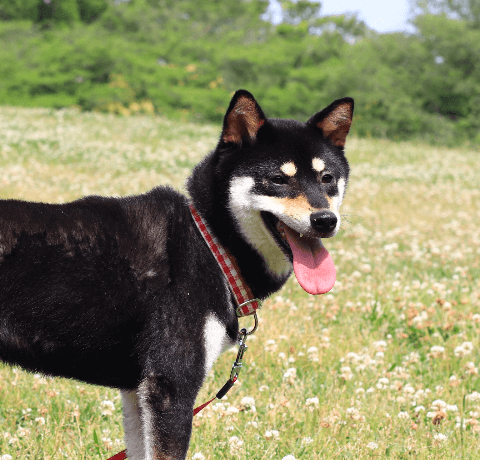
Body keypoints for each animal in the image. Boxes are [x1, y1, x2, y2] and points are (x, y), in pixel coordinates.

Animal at [0, 89, 352, 456]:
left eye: (327, 178)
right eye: (279, 179)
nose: (325, 220)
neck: (210, 243)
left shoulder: (138, 392)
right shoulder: (170, 385)